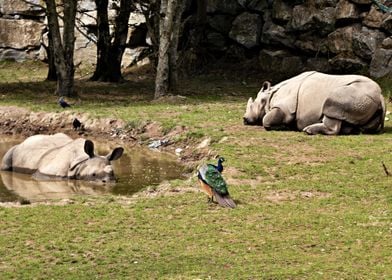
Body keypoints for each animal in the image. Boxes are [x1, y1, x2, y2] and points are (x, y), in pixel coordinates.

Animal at [243, 70, 384, 135]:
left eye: (253, 105)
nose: (244, 119)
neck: (269, 95)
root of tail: (381, 96)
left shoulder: (286, 108)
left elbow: (266, 119)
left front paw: (282, 127)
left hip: (354, 93)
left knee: (331, 104)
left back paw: (308, 130)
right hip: (364, 98)